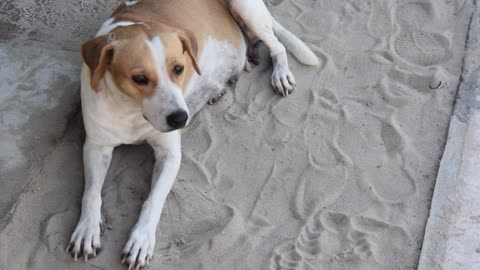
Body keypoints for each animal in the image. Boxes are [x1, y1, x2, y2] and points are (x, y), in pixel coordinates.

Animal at [65, 0, 316, 268]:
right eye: (139, 78)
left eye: (179, 69)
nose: (180, 118)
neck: (131, 110)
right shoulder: (96, 147)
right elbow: (91, 194)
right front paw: (87, 229)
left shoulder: (170, 155)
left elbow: (153, 201)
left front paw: (141, 239)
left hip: (246, 8)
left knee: (278, 46)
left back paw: (278, 73)